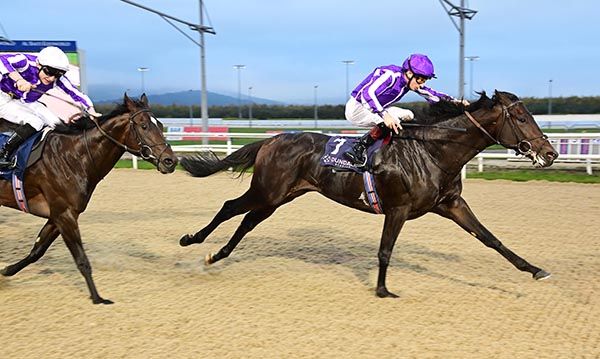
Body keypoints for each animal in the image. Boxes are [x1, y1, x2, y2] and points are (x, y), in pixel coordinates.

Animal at [0, 93, 178, 304]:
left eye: (160, 125)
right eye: (144, 126)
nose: (171, 161)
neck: (74, 156)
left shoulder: (58, 215)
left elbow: (37, 251)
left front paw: (7, 270)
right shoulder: (65, 215)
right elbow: (82, 259)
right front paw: (97, 297)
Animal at [178, 91, 556, 300]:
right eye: (521, 117)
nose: (549, 153)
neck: (432, 151)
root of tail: (272, 140)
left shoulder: (451, 204)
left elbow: (490, 239)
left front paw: (535, 270)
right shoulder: (398, 209)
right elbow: (385, 250)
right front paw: (383, 289)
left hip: (278, 197)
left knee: (246, 222)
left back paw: (217, 255)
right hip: (267, 190)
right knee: (229, 208)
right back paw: (191, 239)